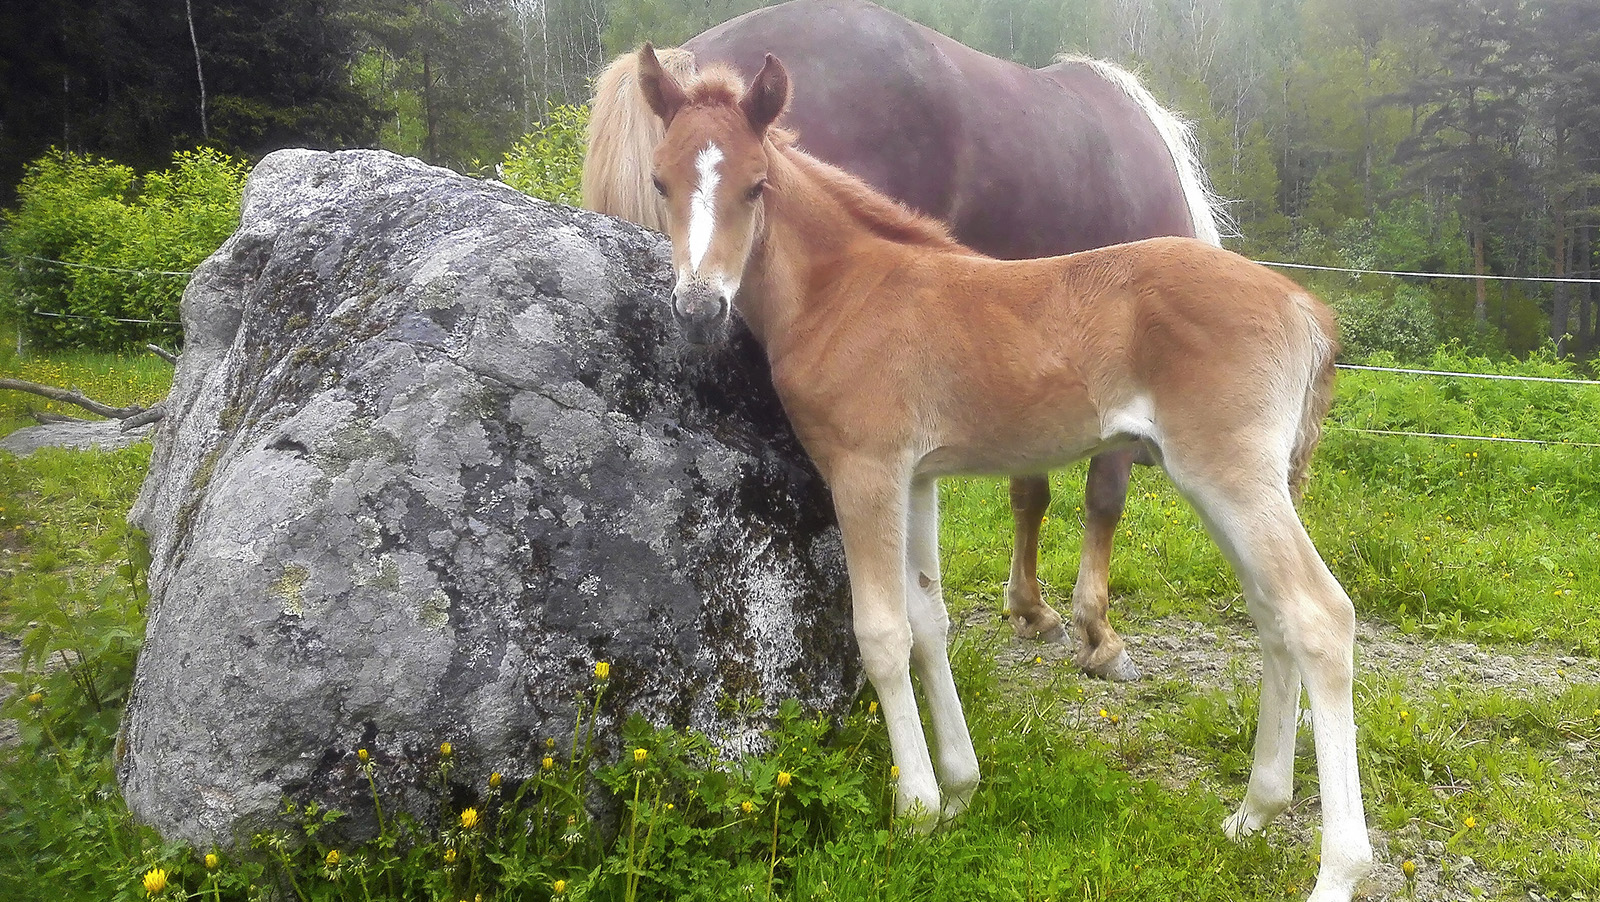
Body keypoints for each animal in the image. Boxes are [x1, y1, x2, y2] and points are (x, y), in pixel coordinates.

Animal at [636, 49, 1376, 902]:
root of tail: (1304, 307)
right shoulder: (916, 478)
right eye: (660, 180)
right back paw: (1253, 812)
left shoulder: (864, 471)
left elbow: (882, 633)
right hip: (1225, 485)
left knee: (1319, 616)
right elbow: (929, 623)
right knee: (1272, 615)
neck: (845, 292)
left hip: (1232, 477)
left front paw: (916, 811)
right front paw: (960, 789)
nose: (698, 307)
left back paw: (1338, 868)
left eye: (755, 185)